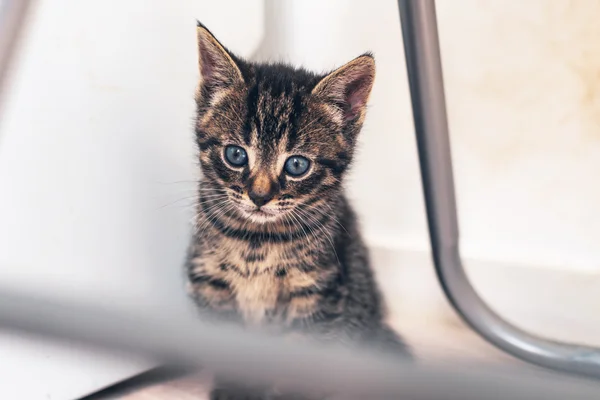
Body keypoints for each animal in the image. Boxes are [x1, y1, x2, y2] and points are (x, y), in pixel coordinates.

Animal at [188, 21, 412, 400]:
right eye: (235, 155)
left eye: (296, 165)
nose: (259, 196)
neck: (256, 241)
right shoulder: (211, 281)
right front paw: (234, 391)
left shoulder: (317, 292)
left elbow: (301, 360)